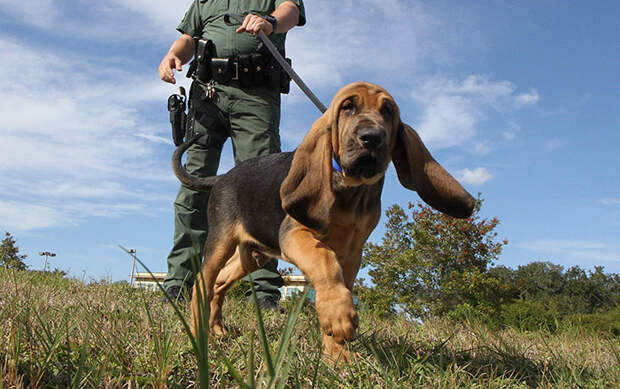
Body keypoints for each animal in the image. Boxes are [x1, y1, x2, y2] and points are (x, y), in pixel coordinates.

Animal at [173, 80, 474, 360]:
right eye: (348, 106)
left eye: (388, 111)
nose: (371, 138)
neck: (352, 186)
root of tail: (221, 178)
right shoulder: (295, 237)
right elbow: (325, 263)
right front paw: (338, 315)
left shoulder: (352, 254)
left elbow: (341, 282)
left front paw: (337, 357)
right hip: (221, 242)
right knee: (203, 283)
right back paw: (198, 334)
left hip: (251, 254)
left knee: (220, 284)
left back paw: (217, 330)